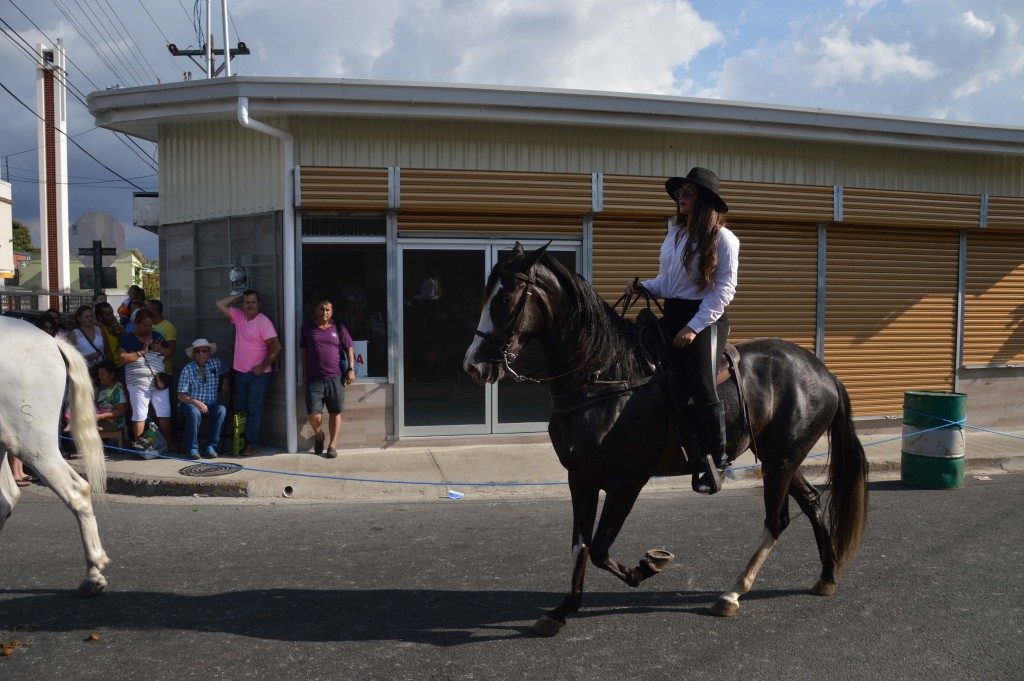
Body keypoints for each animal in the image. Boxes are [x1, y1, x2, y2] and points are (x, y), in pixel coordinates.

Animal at [466, 242, 872, 639]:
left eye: (506, 298)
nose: (474, 365)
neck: (604, 377)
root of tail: (825, 373)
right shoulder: (580, 479)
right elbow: (581, 545)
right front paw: (563, 610)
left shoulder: (626, 482)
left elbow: (600, 549)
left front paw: (648, 567)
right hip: (781, 459)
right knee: (812, 502)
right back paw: (826, 576)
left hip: (781, 463)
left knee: (777, 520)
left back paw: (732, 593)